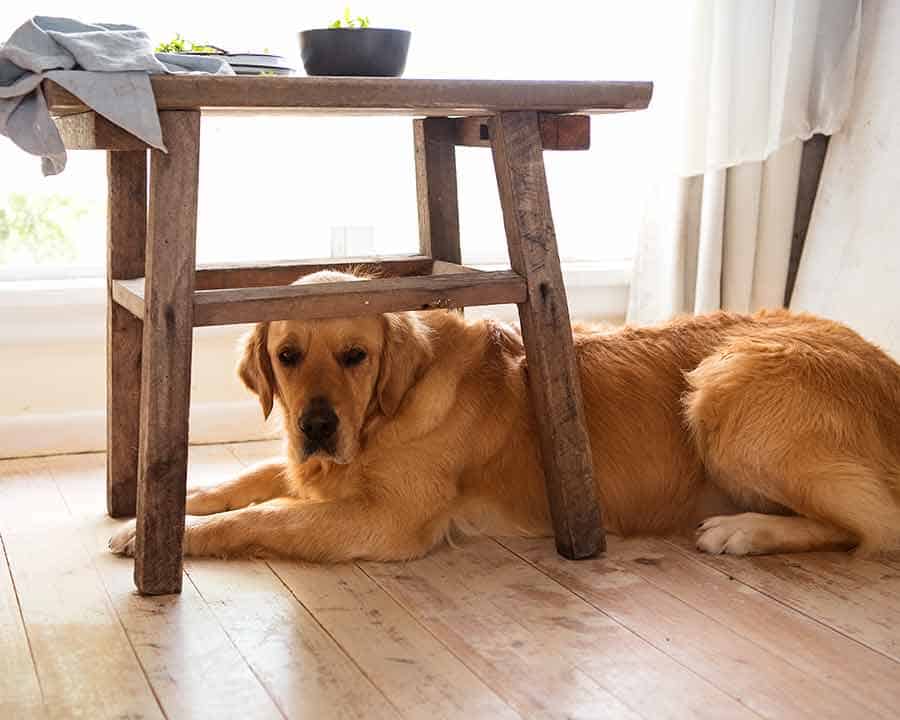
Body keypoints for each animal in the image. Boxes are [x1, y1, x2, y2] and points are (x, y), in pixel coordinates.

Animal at [109, 272, 900, 560]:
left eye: (356, 356)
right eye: (288, 355)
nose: (317, 425)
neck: (387, 414)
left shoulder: (388, 521)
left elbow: (265, 515)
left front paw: (163, 540)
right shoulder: (318, 467)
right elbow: (250, 479)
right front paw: (167, 505)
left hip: (725, 391)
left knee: (877, 527)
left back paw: (745, 530)